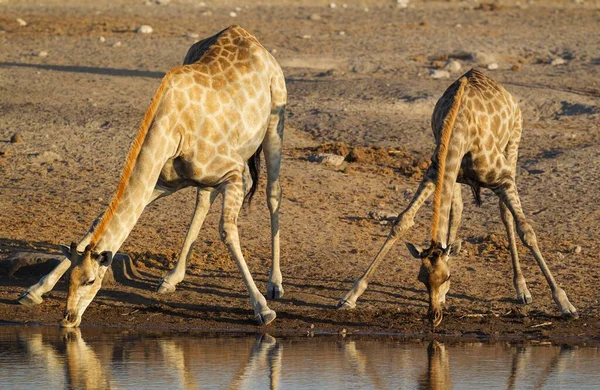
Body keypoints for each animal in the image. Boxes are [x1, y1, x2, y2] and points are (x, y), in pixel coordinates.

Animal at [14, 25, 286, 328]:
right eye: (70, 281)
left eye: (91, 280)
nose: (69, 318)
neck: (174, 128)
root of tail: (251, 38)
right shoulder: (162, 181)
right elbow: (96, 222)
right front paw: (33, 291)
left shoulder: (233, 172)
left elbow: (227, 230)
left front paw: (262, 309)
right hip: (207, 176)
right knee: (203, 201)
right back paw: (171, 279)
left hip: (276, 121)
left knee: (273, 194)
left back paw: (275, 285)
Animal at [338, 69, 576, 326]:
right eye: (422, 279)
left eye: (446, 276)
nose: (434, 317)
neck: (460, 128)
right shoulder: (435, 172)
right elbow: (402, 221)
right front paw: (350, 296)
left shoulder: (503, 178)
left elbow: (526, 231)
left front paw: (564, 303)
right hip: (455, 178)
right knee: (457, 211)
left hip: (513, 144)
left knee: (505, 214)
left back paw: (522, 290)